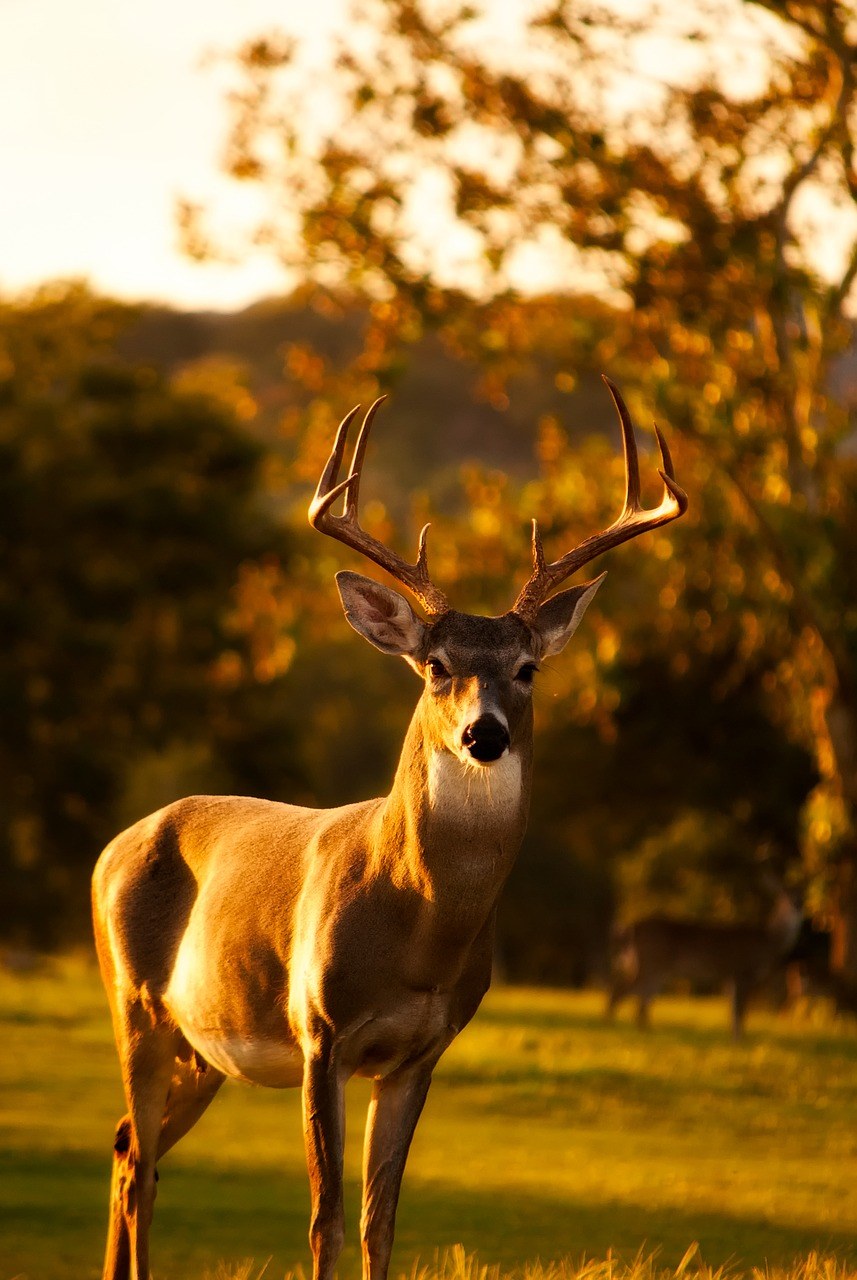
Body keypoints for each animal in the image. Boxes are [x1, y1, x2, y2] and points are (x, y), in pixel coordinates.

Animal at [90, 376, 690, 1280]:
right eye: (436, 666)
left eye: (527, 668)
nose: (484, 734)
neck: (416, 930)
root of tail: (113, 847)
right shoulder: (320, 1033)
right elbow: (325, 1221)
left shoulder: (419, 1054)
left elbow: (380, 1221)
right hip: (135, 1004)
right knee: (139, 1164)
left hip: (202, 1046)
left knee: (131, 1148)